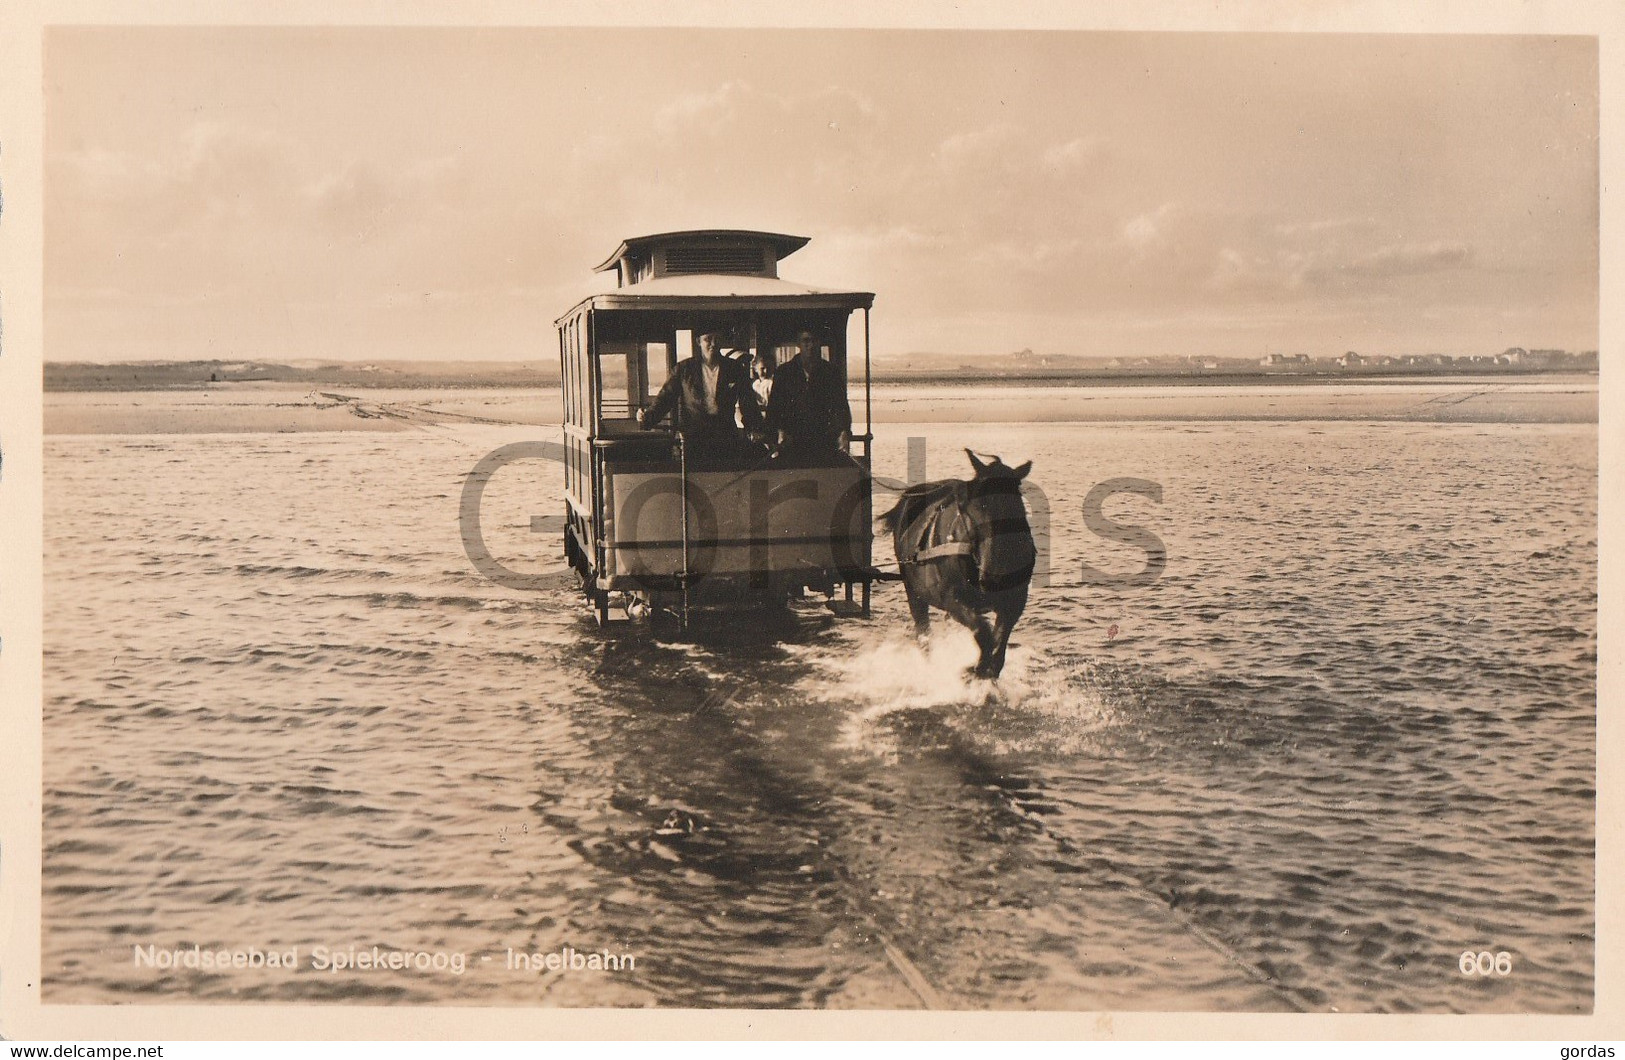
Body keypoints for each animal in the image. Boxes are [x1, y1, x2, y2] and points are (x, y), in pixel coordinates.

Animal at [877, 448, 1040, 679]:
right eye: (970, 506)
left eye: (1016, 504)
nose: (995, 576)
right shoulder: (951, 598)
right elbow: (982, 632)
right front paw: (975, 668)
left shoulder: (1015, 600)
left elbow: (999, 642)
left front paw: (987, 667)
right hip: (913, 592)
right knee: (923, 630)